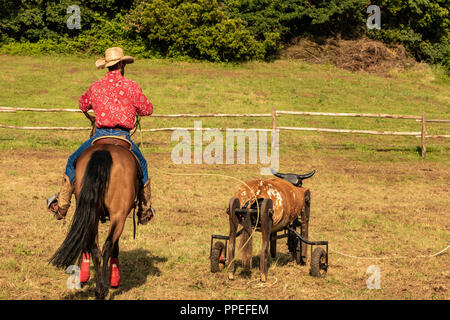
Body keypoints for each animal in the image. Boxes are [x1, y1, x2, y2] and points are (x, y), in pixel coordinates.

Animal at [49, 138, 139, 300]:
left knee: (95, 248)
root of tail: (104, 151)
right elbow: (114, 246)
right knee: (108, 245)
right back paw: (103, 289)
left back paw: (98, 290)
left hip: (94, 213)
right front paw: (113, 279)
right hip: (118, 215)